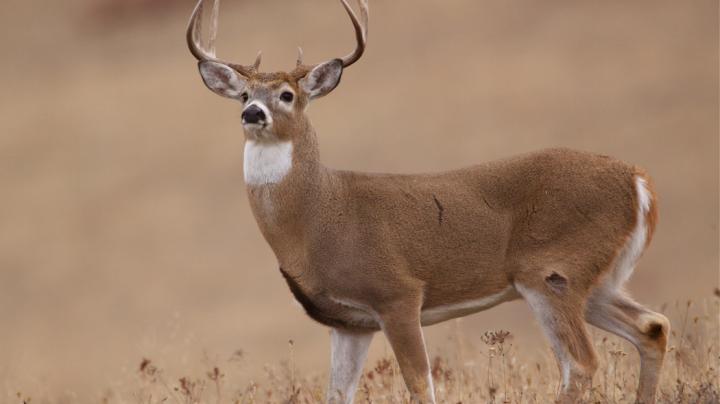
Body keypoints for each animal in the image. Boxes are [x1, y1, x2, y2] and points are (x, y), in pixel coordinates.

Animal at [186, 0, 669, 402]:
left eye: (287, 95)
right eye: (244, 94)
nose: (252, 113)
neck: (318, 217)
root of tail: (640, 181)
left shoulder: (398, 293)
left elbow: (421, 385)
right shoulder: (348, 323)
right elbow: (338, 394)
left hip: (553, 270)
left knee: (582, 363)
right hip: (597, 279)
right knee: (652, 327)